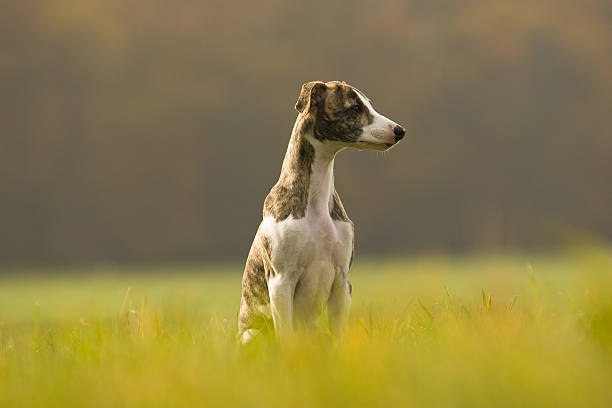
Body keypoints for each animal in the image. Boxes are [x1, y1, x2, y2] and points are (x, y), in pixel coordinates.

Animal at [239, 79, 406, 342]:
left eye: (368, 104)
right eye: (355, 108)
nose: (400, 131)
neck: (316, 203)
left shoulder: (342, 281)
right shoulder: (280, 281)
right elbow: (286, 338)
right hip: (252, 333)